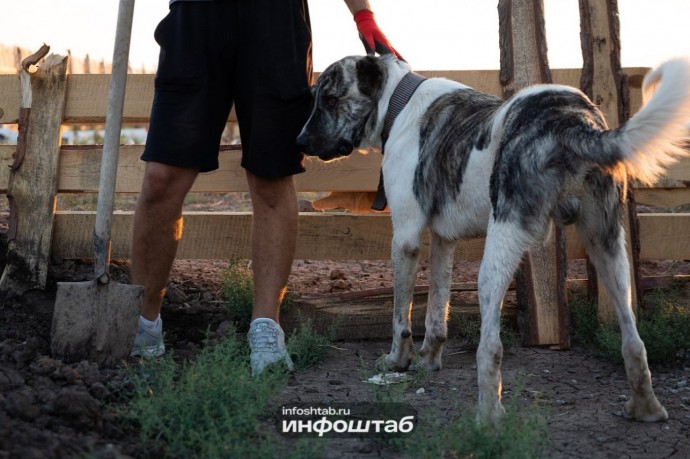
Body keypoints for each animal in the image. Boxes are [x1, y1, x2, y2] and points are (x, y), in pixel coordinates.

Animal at [298, 54, 688, 424]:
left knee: (491, 347)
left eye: (330, 99)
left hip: (498, 253)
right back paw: (646, 407)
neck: (399, 101)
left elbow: (400, 317)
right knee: (633, 338)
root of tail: (573, 120)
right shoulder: (443, 240)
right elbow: (436, 312)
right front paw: (429, 360)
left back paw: (487, 418)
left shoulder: (406, 239)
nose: (299, 141)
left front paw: (398, 360)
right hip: (608, 249)